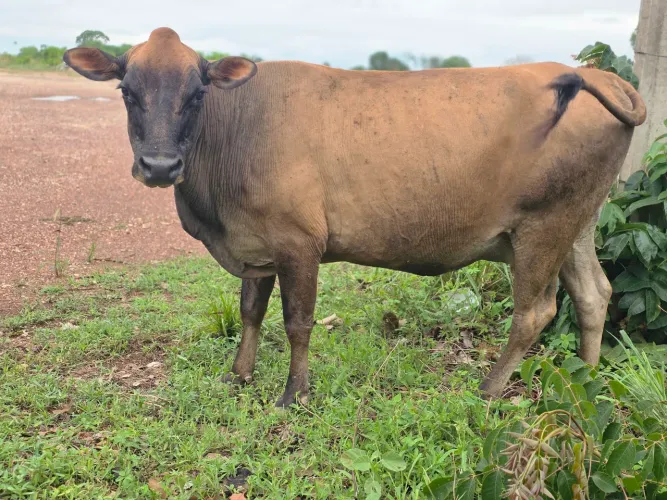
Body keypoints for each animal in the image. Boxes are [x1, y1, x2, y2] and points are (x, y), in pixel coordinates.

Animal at [63, 27, 646, 408]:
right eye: (126, 90)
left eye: (196, 92)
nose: (160, 165)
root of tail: (592, 75)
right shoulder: (258, 246)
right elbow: (250, 312)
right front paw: (240, 376)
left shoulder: (299, 243)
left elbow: (297, 322)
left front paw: (294, 395)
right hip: (578, 223)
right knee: (593, 295)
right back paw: (588, 381)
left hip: (544, 226)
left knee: (536, 311)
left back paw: (487, 389)